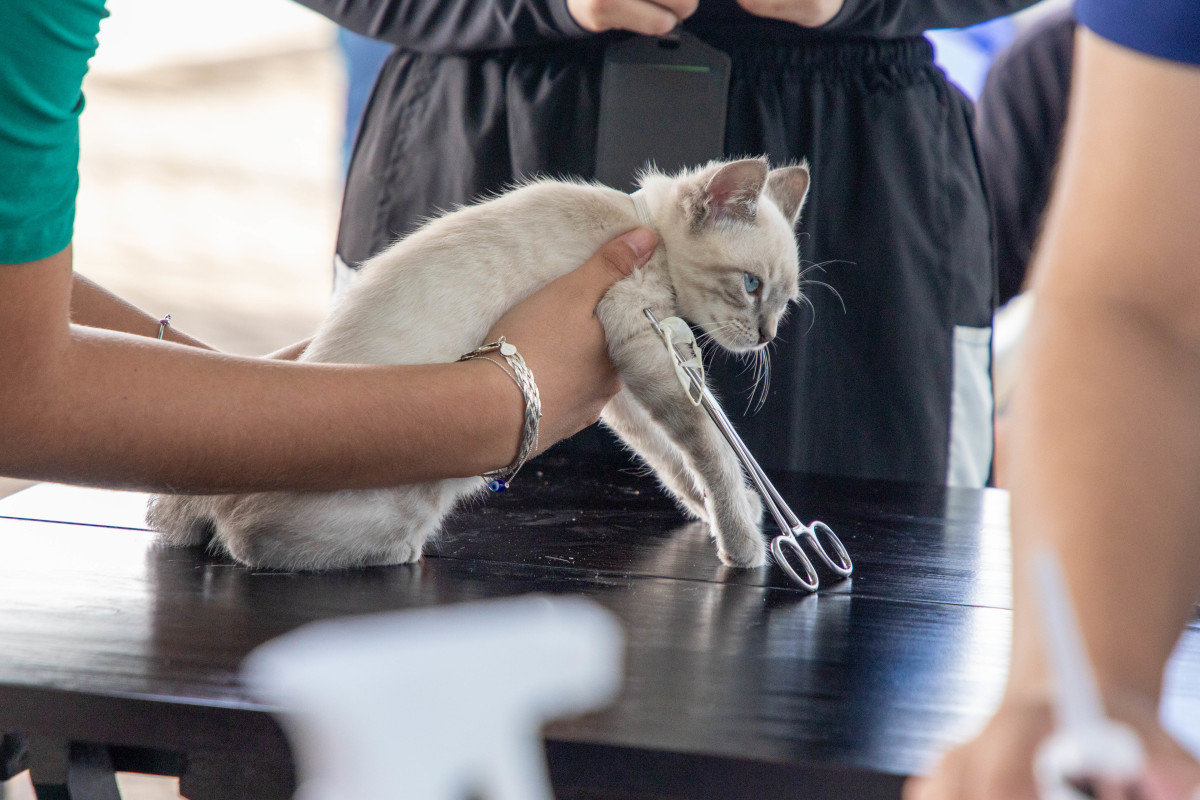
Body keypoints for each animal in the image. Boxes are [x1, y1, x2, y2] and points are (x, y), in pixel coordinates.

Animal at [147, 158, 806, 568]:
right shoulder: (640, 343)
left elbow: (670, 459)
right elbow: (710, 446)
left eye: (784, 301)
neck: (644, 230)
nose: (766, 335)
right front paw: (743, 544)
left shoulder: (618, 386)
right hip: (405, 502)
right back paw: (400, 553)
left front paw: (726, 512)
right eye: (751, 285)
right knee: (243, 540)